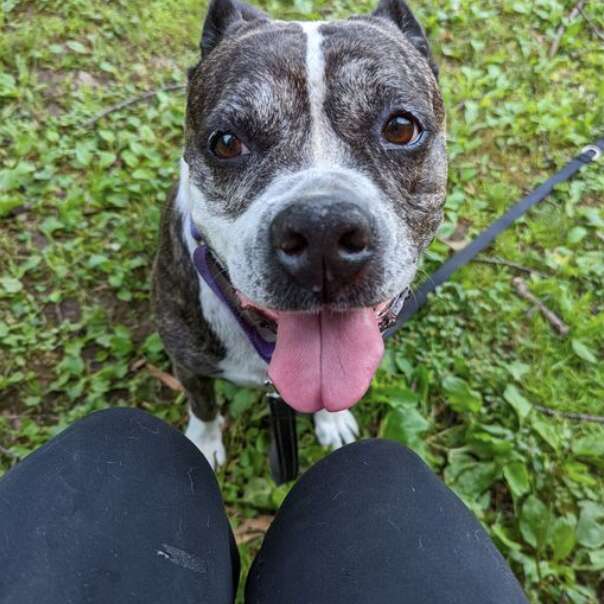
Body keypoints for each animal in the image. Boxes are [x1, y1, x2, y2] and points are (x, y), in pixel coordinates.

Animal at [151, 0, 446, 468]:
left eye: (401, 127)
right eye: (226, 142)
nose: (322, 229)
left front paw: (333, 421)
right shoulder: (188, 362)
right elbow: (203, 404)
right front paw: (203, 442)